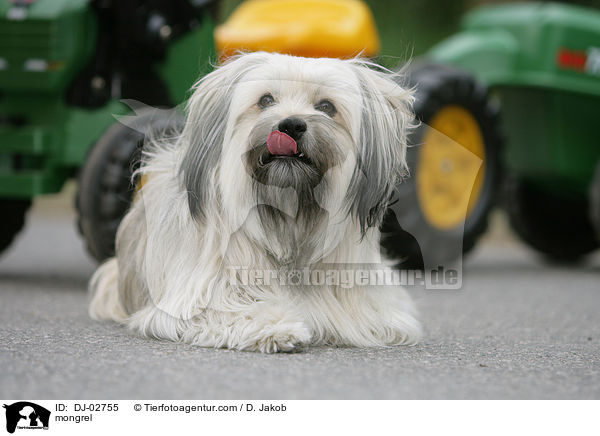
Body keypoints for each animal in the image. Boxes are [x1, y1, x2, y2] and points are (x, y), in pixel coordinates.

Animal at [89, 52, 420, 350]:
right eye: (266, 100)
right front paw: (276, 327)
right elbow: (228, 310)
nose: (291, 125)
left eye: (326, 106)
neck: (289, 219)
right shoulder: (196, 296)